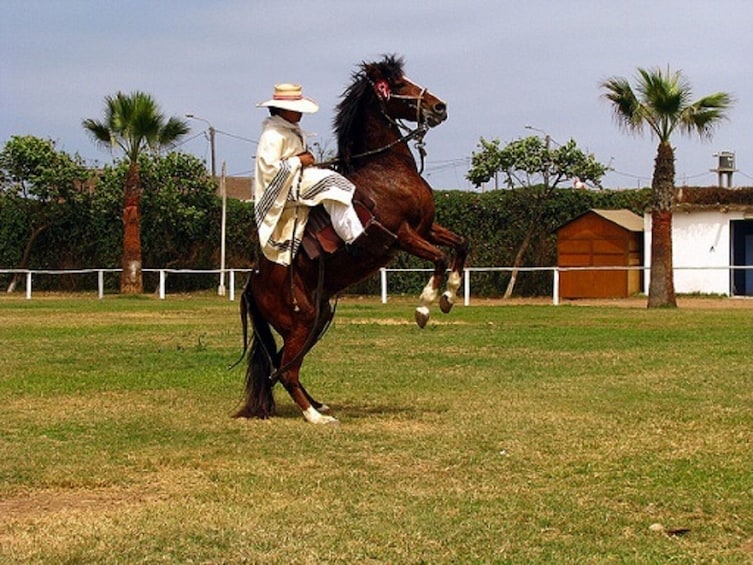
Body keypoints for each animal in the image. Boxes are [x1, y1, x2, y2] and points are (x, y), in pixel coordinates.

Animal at [238, 54, 468, 424]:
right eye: (398, 84)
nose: (439, 106)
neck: (387, 170)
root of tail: (253, 282)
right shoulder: (401, 235)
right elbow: (439, 258)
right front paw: (425, 307)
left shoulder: (426, 228)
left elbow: (460, 245)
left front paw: (450, 295)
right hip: (301, 321)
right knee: (285, 371)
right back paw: (315, 417)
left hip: (317, 318)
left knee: (284, 366)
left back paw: (318, 405)